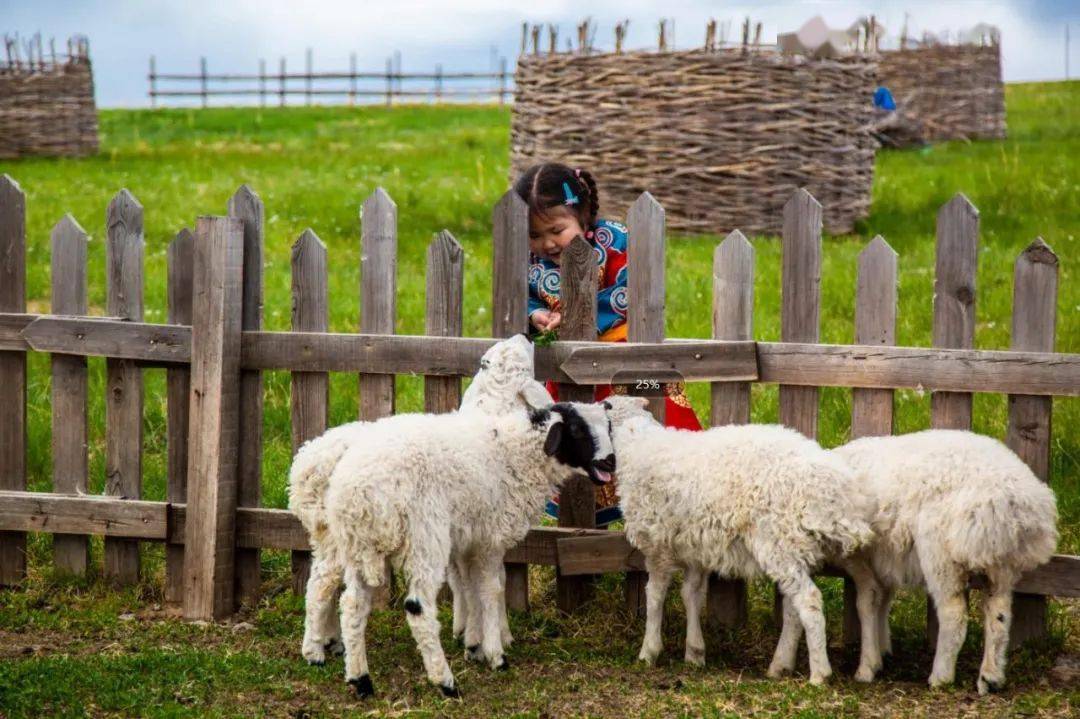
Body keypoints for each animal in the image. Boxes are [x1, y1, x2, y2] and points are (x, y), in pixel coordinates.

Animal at [289, 332, 552, 665]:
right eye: (493, 359)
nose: (527, 334)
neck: (495, 419)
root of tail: (309, 461)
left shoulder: (464, 536)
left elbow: (464, 582)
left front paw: (467, 631)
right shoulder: (486, 530)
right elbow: (492, 583)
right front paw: (491, 639)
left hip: (330, 535)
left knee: (321, 581)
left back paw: (328, 642)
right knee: (323, 585)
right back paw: (316, 650)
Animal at [321, 397, 617, 695]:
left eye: (608, 427)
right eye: (577, 429)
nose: (610, 461)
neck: (517, 453)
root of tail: (359, 491)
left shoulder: (469, 540)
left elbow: (470, 588)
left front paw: (474, 645)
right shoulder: (491, 538)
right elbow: (491, 590)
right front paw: (495, 655)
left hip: (359, 546)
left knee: (352, 605)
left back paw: (360, 680)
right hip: (425, 539)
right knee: (418, 607)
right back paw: (445, 681)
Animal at [604, 397, 881, 682]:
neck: (639, 446)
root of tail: (835, 492)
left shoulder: (658, 547)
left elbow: (655, 596)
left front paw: (648, 652)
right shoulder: (696, 549)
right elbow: (691, 594)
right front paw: (694, 653)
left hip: (780, 543)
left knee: (809, 601)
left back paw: (819, 674)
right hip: (798, 547)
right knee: (808, 604)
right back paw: (784, 665)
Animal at [833, 427, 1054, 690]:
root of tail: (1010, 500)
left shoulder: (861, 559)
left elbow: (867, 603)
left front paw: (867, 666)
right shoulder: (886, 560)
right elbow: (883, 603)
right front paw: (883, 650)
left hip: (940, 553)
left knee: (954, 614)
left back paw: (941, 676)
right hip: (1000, 562)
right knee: (999, 613)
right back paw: (990, 676)